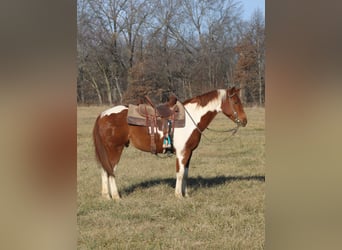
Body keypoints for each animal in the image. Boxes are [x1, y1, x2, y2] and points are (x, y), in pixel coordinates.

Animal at [93, 87, 248, 200]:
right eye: (236, 102)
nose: (244, 121)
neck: (192, 119)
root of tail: (102, 115)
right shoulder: (182, 152)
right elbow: (179, 173)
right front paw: (178, 195)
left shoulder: (189, 152)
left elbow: (185, 173)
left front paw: (186, 194)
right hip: (115, 149)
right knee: (111, 170)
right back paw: (116, 196)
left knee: (104, 170)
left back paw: (106, 196)